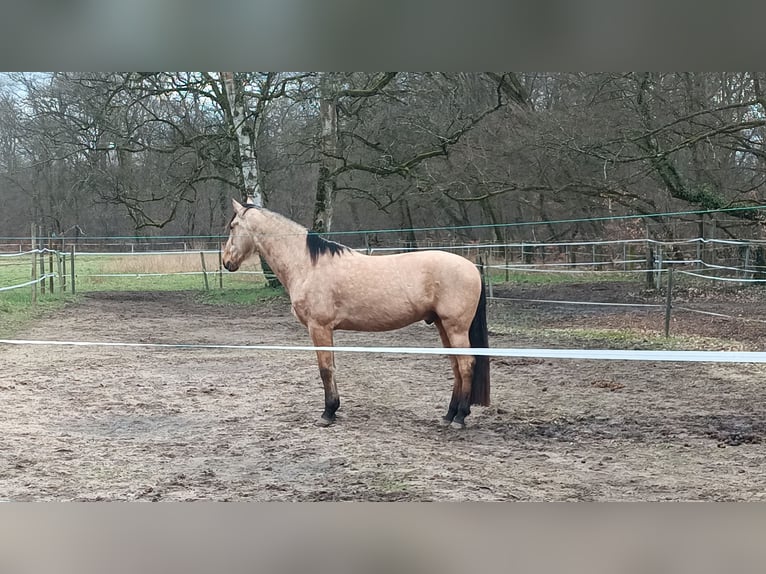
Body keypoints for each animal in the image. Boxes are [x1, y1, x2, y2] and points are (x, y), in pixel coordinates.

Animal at [222, 199, 490, 429]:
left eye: (233, 226)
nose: (226, 262)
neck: (307, 265)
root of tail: (472, 268)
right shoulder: (326, 330)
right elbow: (331, 367)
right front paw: (334, 409)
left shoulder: (319, 327)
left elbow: (325, 369)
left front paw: (327, 413)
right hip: (442, 326)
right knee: (456, 366)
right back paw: (448, 415)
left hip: (455, 327)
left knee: (466, 365)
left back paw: (460, 418)